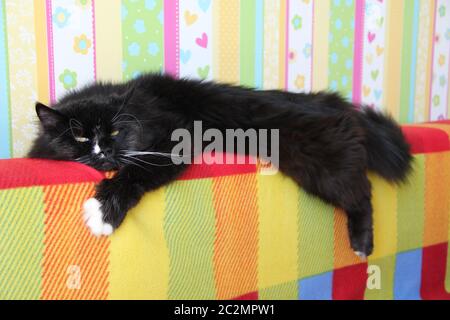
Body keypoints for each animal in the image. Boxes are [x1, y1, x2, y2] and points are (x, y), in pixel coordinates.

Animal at [29, 72, 412, 258]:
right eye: (79, 137)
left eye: (114, 130)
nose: (103, 152)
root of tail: (331, 103)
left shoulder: (175, 137)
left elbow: (135, 172)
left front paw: (103, 212)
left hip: (323, 166)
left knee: (362, 194)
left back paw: (362, 245)